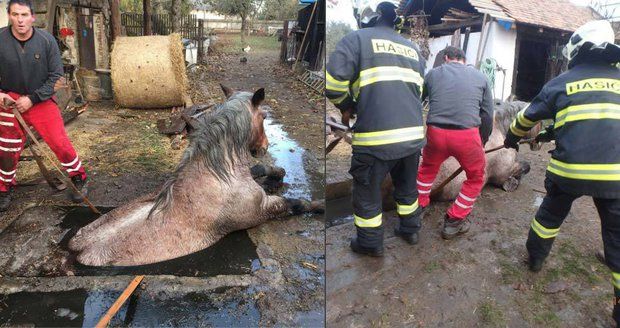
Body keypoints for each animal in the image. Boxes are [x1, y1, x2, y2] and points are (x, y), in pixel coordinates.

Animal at [70, 85, 322, 266]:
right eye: (264, 117)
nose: (263, 148)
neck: (217, 175)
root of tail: (76, 251)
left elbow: (259, 170)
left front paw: (278, 173)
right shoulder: (263, 211)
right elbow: (296, 204)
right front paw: (319, 205)